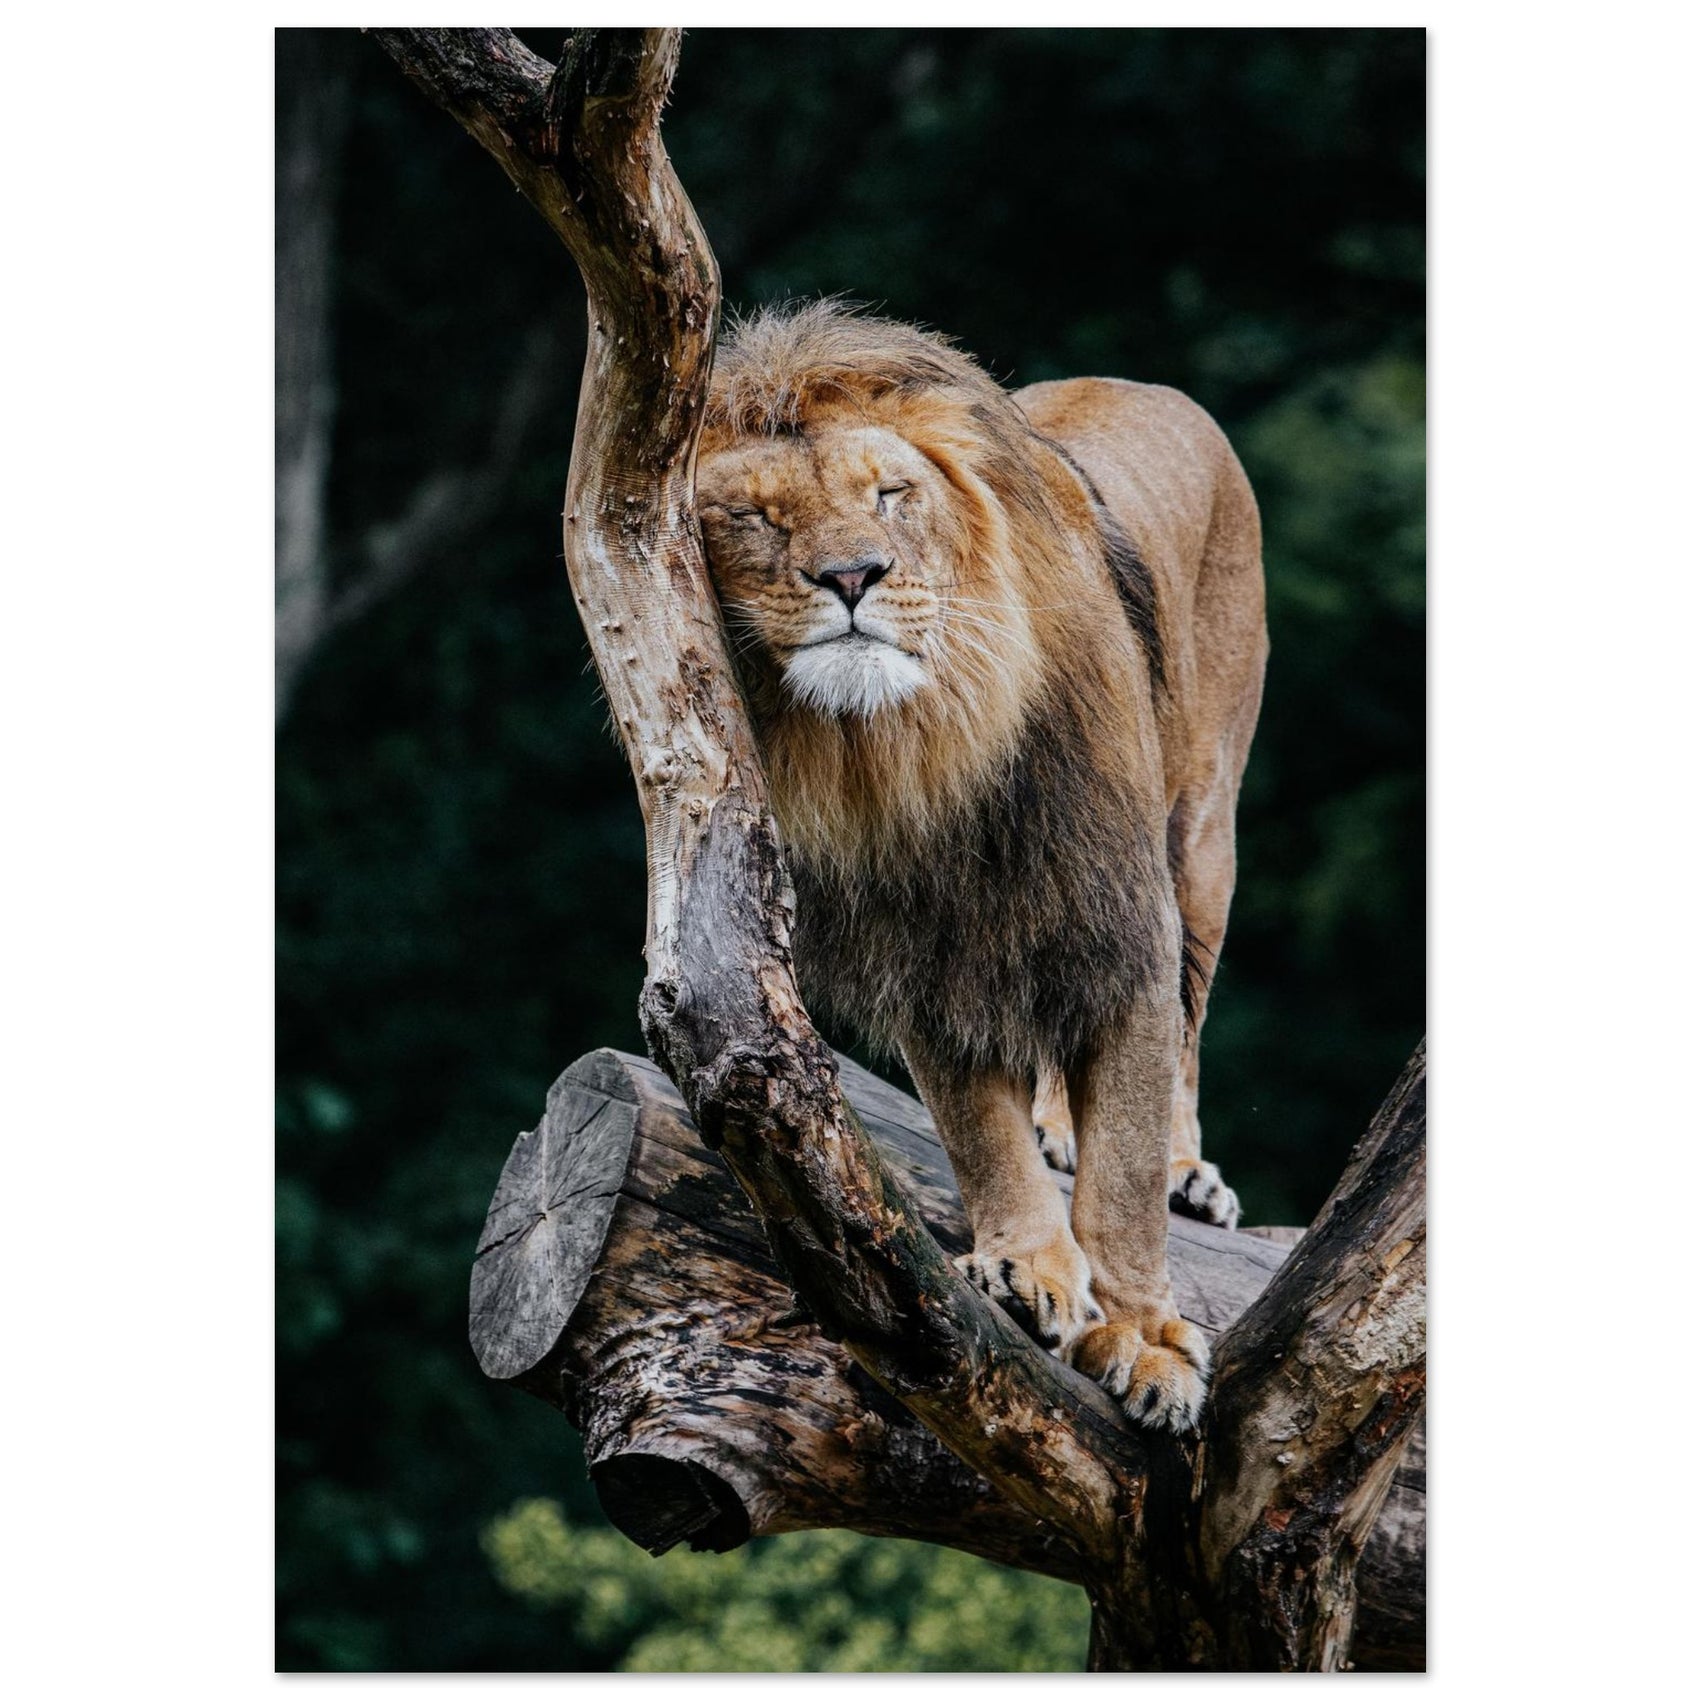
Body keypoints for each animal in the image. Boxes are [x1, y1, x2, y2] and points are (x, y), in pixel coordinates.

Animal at [696, 302, 1267, 1432]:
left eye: (889, 493)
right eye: (755, 517)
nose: (851, 577)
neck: (919, 748)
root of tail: (1139, 382)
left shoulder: (1122, 911)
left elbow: (1124, 1159)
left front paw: (1142, 1335)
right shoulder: (925, 943)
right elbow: (978, 1126)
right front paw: (1029, 1268)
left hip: (1202, 836)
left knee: (1186, 1032)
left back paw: (1187, 1172)